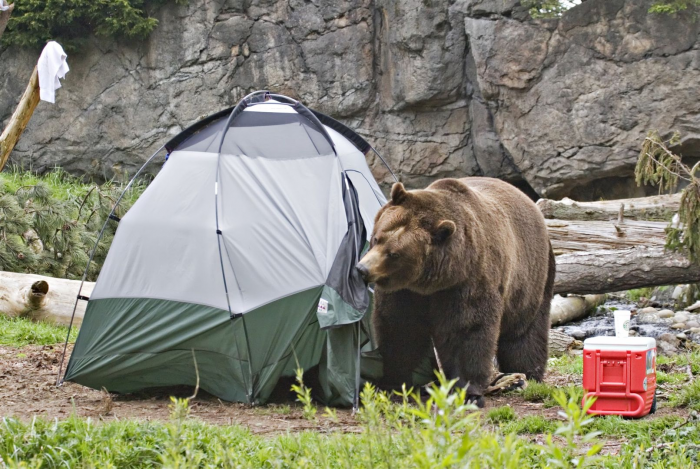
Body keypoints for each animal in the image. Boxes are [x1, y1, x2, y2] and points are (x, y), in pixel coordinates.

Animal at [355, 177, 555, 407]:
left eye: (394, 254)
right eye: (377, 238)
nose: (362, 269)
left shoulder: (467, 282)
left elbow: (465, 331)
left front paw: (468, 392)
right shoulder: (405, 292)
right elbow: (401, 328)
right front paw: (394, 385)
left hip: (531, 275)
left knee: (524, 331)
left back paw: (526, 373)